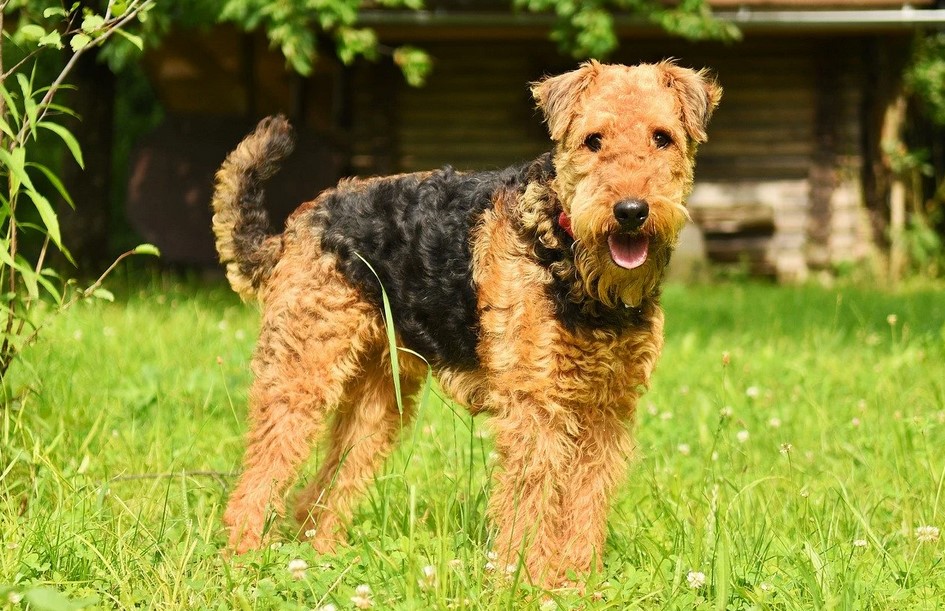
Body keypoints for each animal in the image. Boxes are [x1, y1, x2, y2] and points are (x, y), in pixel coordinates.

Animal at [212, 59, 716, 584]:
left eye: (662, 137)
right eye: (593, 139)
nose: (630, 211)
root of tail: (297, 226)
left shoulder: (607, 407)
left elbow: (585, 502)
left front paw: (578, 583)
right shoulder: (535, 406)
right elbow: (531, 502)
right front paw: (528, 582)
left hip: (378, 398)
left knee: (324, 489)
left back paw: (325, 559)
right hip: (302, 371)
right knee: (258, 480)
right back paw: (245, 558)